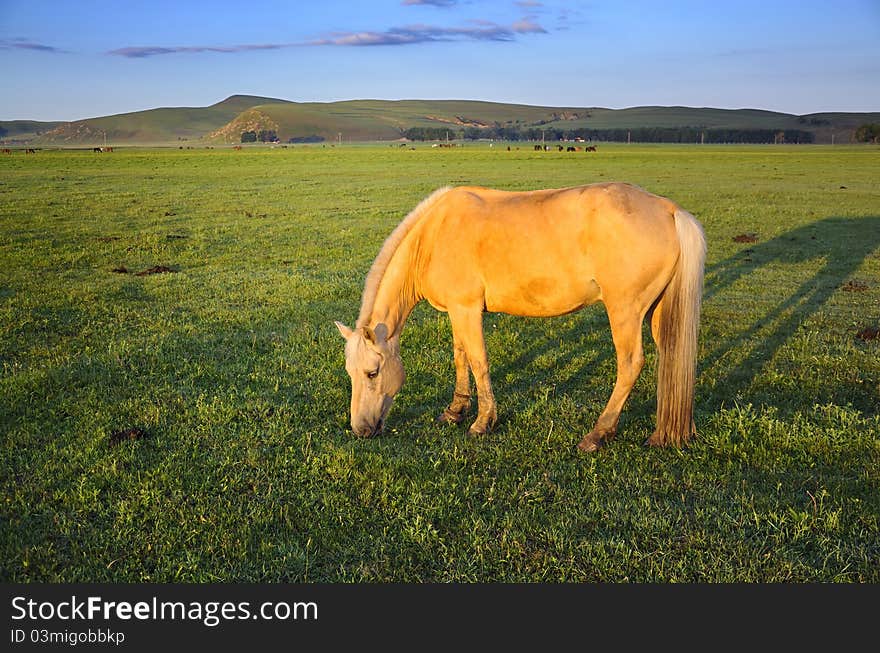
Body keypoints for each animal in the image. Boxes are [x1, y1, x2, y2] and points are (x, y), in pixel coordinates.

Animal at [336, 181, 708, 450]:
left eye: (372, 373)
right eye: (350, 372)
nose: (360, 429)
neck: (432, 236)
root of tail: (670, 211)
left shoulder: (467, 309)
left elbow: (478, 361)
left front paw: (482, 422)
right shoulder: (457, 311)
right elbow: (460, 357)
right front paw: (455, 411)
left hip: (624, 310)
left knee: (630, 364)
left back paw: (598, 433)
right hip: (658, 312)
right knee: (673, 358)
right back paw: (671, 432)